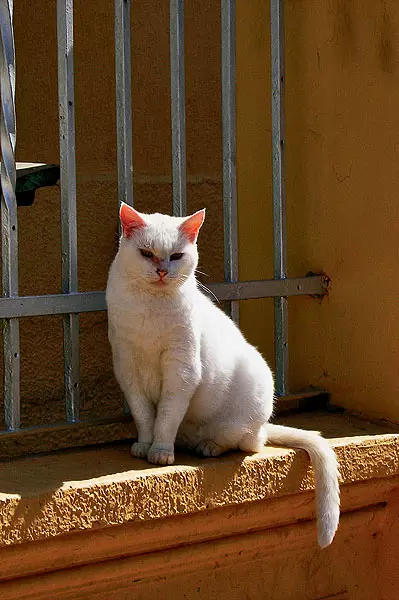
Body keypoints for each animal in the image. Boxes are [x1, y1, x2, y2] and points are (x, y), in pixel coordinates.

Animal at [105, 204, 340, 548]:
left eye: (176, 256)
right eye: (147, 253)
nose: (162, 271)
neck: (149, 306)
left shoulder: (181, 369)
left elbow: (166, 417)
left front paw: (160, 451)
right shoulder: (127, 367)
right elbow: (144, 415)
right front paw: (144, 445)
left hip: (250, 396)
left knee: (249, 443)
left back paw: (209, 446)